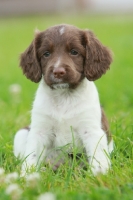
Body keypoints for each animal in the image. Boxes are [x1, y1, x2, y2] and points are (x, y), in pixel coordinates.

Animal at [13, 24, 113, 176]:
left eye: (74, 52)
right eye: (46, 54)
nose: (58, 72)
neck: (64, 96)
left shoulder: (92, 130)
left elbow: (98, 158)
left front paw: (99, 175)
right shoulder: (39, 131)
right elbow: (32, 156)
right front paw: (28, 176)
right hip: (22, 133)